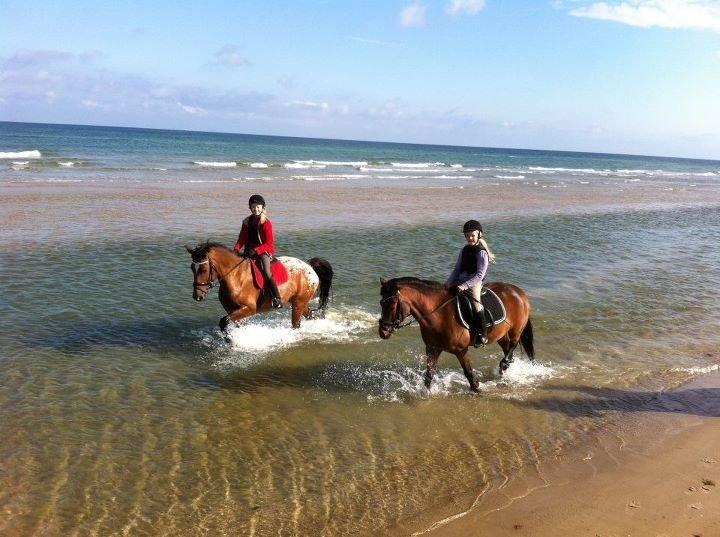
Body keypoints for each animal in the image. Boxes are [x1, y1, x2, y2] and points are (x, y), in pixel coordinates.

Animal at [184, 244, 334, 336]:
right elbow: (235, 324)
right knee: (310, 315)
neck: (236, 276)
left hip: (298, 303)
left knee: (296, 324)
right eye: (192, 268)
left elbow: (224, 321)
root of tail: (309, 266)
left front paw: (230, 340)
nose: (197, 296)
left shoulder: (249, 308)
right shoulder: (232, 310)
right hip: (300, 302)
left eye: (204, 269)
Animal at [380, 278, 532, 392]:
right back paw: (504, 370)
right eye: (381, 303)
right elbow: (429, 375)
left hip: (515, 330)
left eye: (392, 303)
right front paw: (425, 394)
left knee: (513, 344)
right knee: (507, 347)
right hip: (501, 335)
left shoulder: (461, 350)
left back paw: (504, 364)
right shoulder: (433, 349)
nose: (383, 332)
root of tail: (519, 292)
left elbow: (469, 374)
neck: (440, 314)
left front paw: (477, 389)